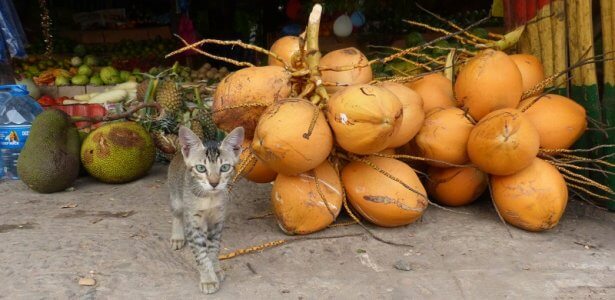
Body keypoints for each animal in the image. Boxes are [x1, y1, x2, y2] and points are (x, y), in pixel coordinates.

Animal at [170, 125, 247, 294]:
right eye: (201, 168)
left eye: (224, 168)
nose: (214, 183)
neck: (209, 198)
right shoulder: (193, 223)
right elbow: (201, 254)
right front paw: (208, 279)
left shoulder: (217, 221)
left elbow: (213, 249)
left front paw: (215, 269)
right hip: (176, 199)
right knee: (177, 215)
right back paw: (177, 237)